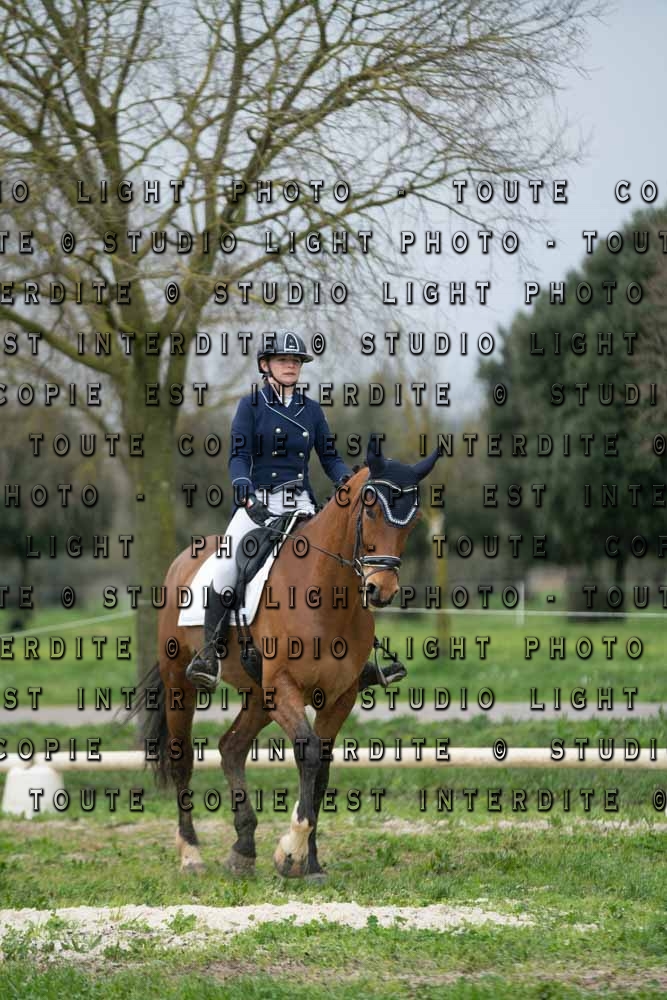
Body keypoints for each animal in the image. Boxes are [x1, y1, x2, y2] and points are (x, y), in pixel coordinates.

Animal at [145, 442, 440, 877]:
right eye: (370, 509)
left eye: (413, 519)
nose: (380, 589)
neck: (326, 592)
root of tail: (184, 558)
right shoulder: (285, 687)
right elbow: (309, 752)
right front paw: (291, 852)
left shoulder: (339, 696)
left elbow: (322, 767)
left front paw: (310, 862)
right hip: (180, 682)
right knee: (183, 760)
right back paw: (191, 854)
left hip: (257, 695)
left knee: (231, 748)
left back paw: (243, 849)